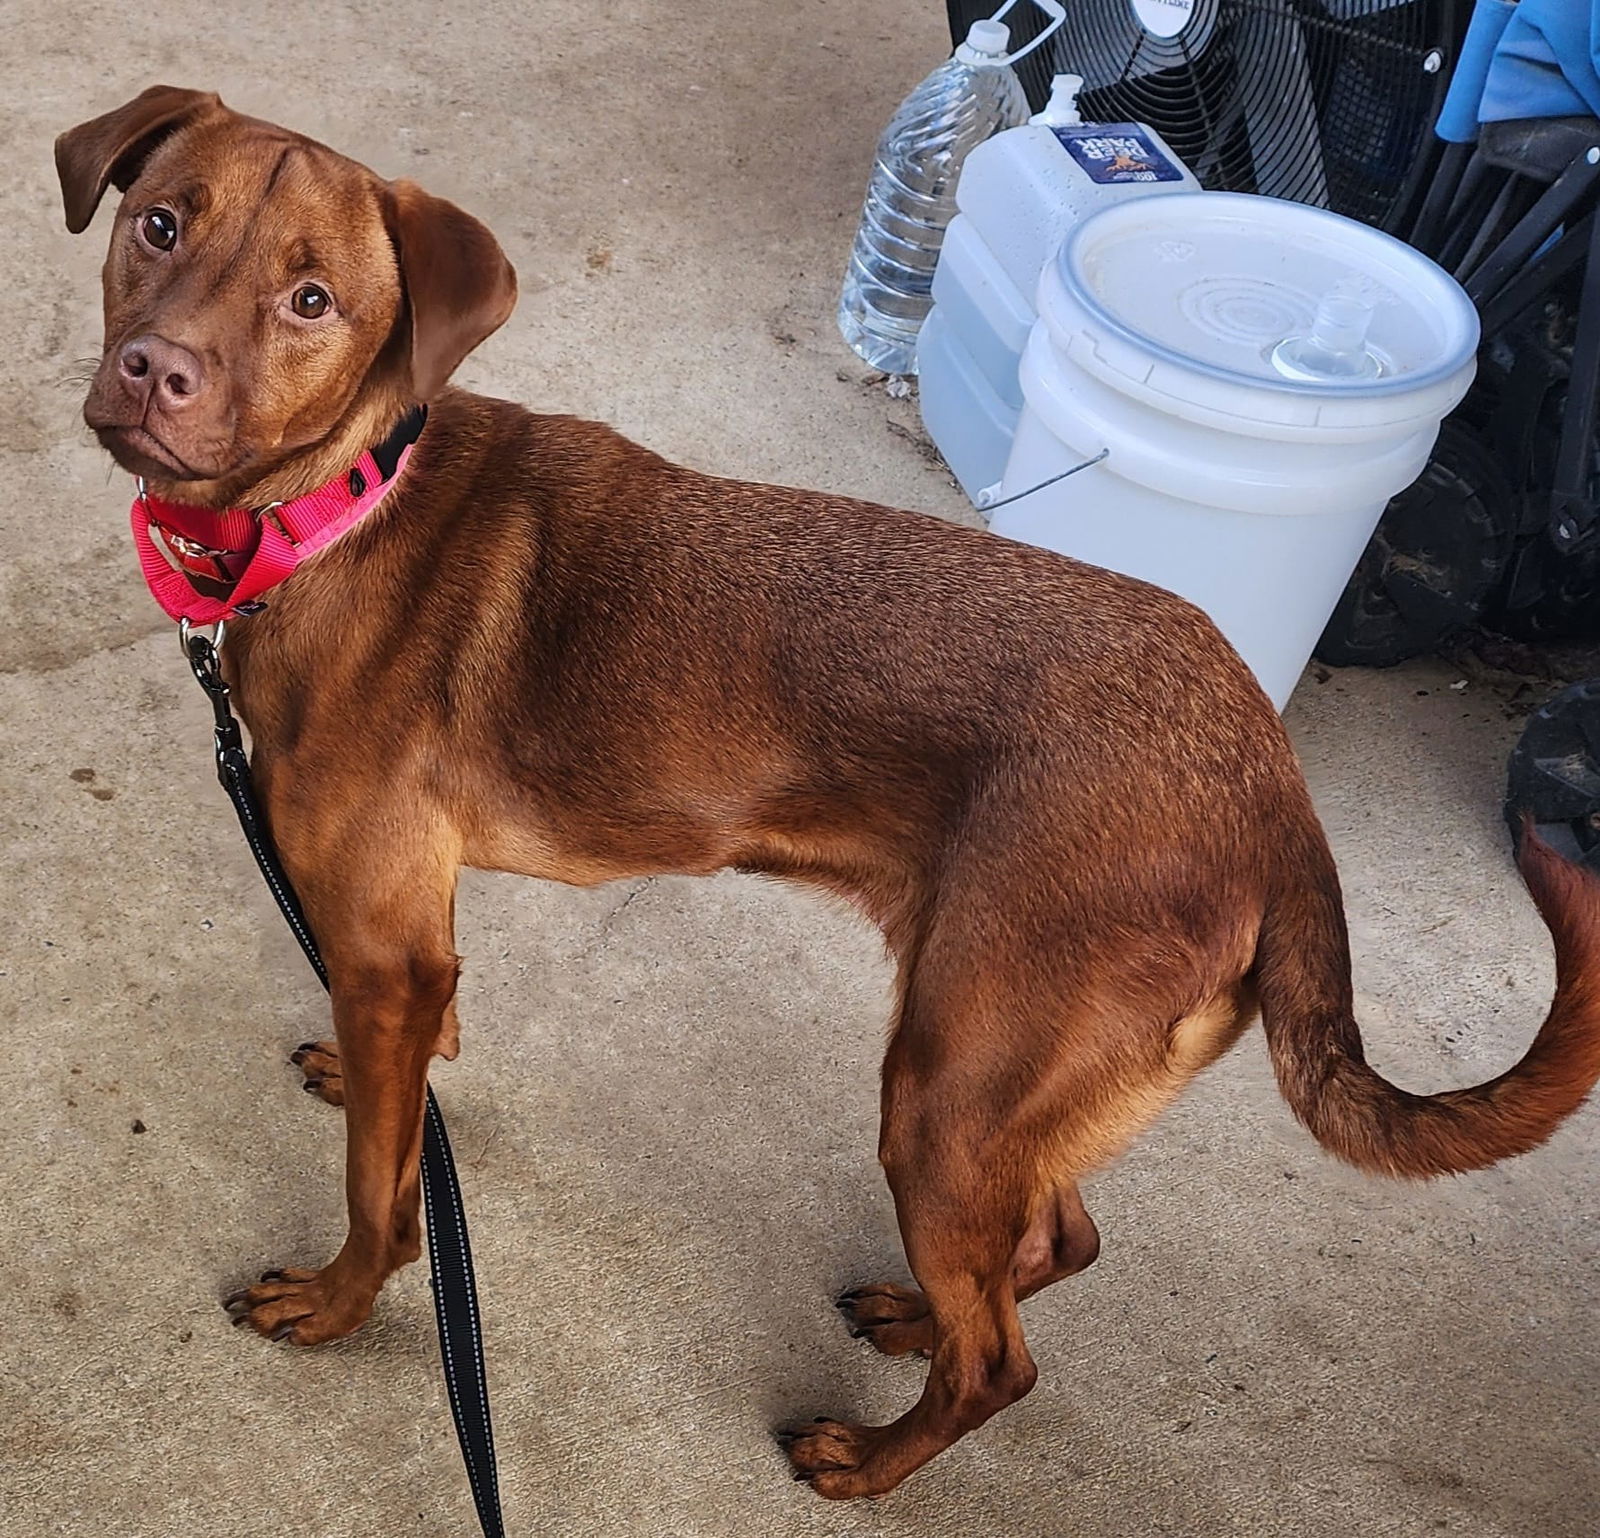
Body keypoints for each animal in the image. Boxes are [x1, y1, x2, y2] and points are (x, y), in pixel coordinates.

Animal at [56, 87, 1600, 1497]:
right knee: (1052, 1240)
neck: (335, 508)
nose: (151, 371)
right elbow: (411, 1069)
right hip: (1017, 1081)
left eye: (312, 297)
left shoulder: (385, 947)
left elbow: (382, 1195)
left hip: (949, 1087)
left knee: (1002, 1357)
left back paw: (870, 1454)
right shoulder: (411, 942)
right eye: (160, 223)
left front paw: (334, 1303)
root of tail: (1272, 791)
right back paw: (917, 1313)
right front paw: (384, 1078)